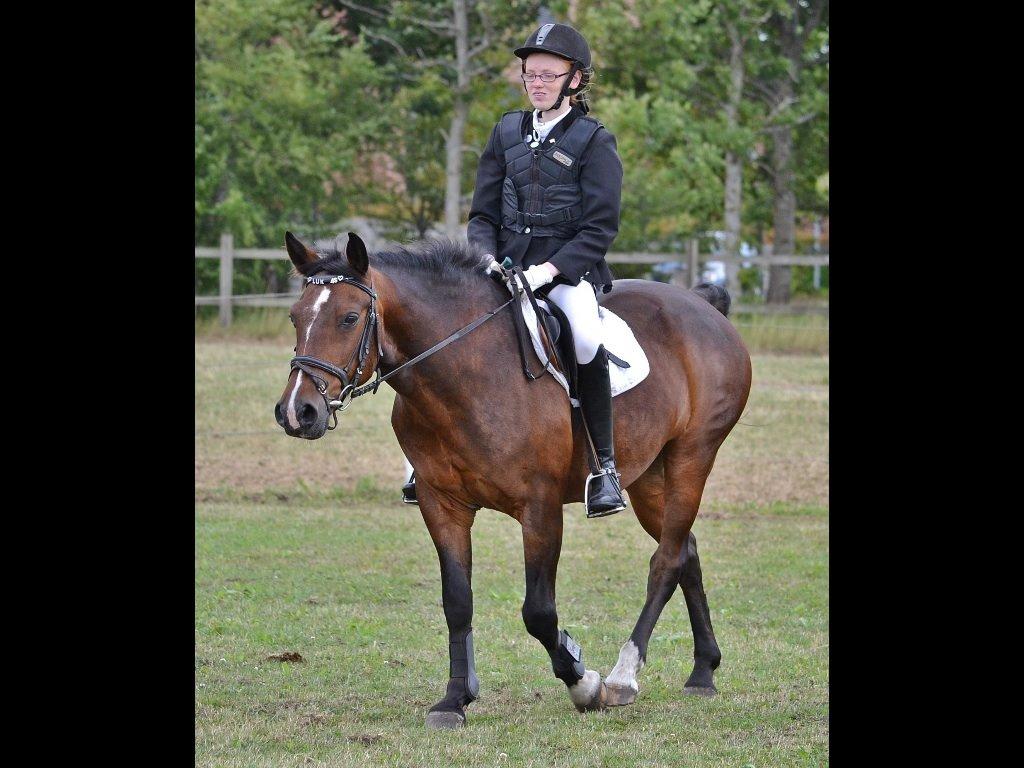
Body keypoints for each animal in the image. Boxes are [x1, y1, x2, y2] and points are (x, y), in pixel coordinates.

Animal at [274, 231, 752, 729]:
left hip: (692, 457)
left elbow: (538, 612)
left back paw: (622, 677)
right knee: (685, 549)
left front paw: (584, 683)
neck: (464, 373)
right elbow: (457, 601)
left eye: (349, 318)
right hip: (648, 477)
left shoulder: (539, 508)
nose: (297, 411)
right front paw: (455, 699)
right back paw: (703, 671)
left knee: (666, 561)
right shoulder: (441, 504)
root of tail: (701, 306)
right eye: (295, 317)